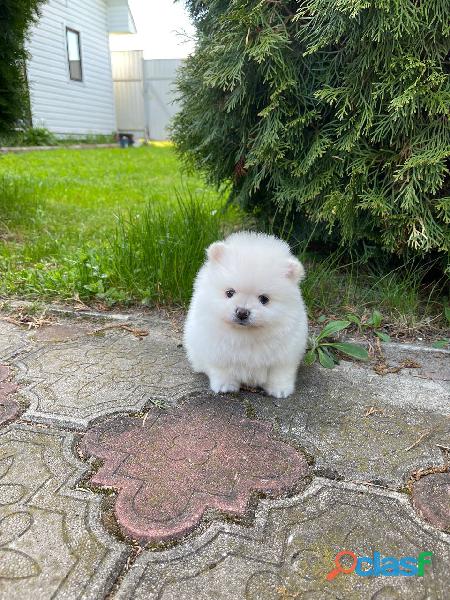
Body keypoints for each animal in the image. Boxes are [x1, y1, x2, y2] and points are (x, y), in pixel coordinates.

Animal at [182, 233, 306, 398]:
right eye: (230, 292)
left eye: (264, 299)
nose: (242, 312)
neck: (246, 334)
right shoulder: (216, 351)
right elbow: (222, 370)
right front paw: (225, 386)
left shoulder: (284, 356)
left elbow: (279, 374)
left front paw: (280, 390)